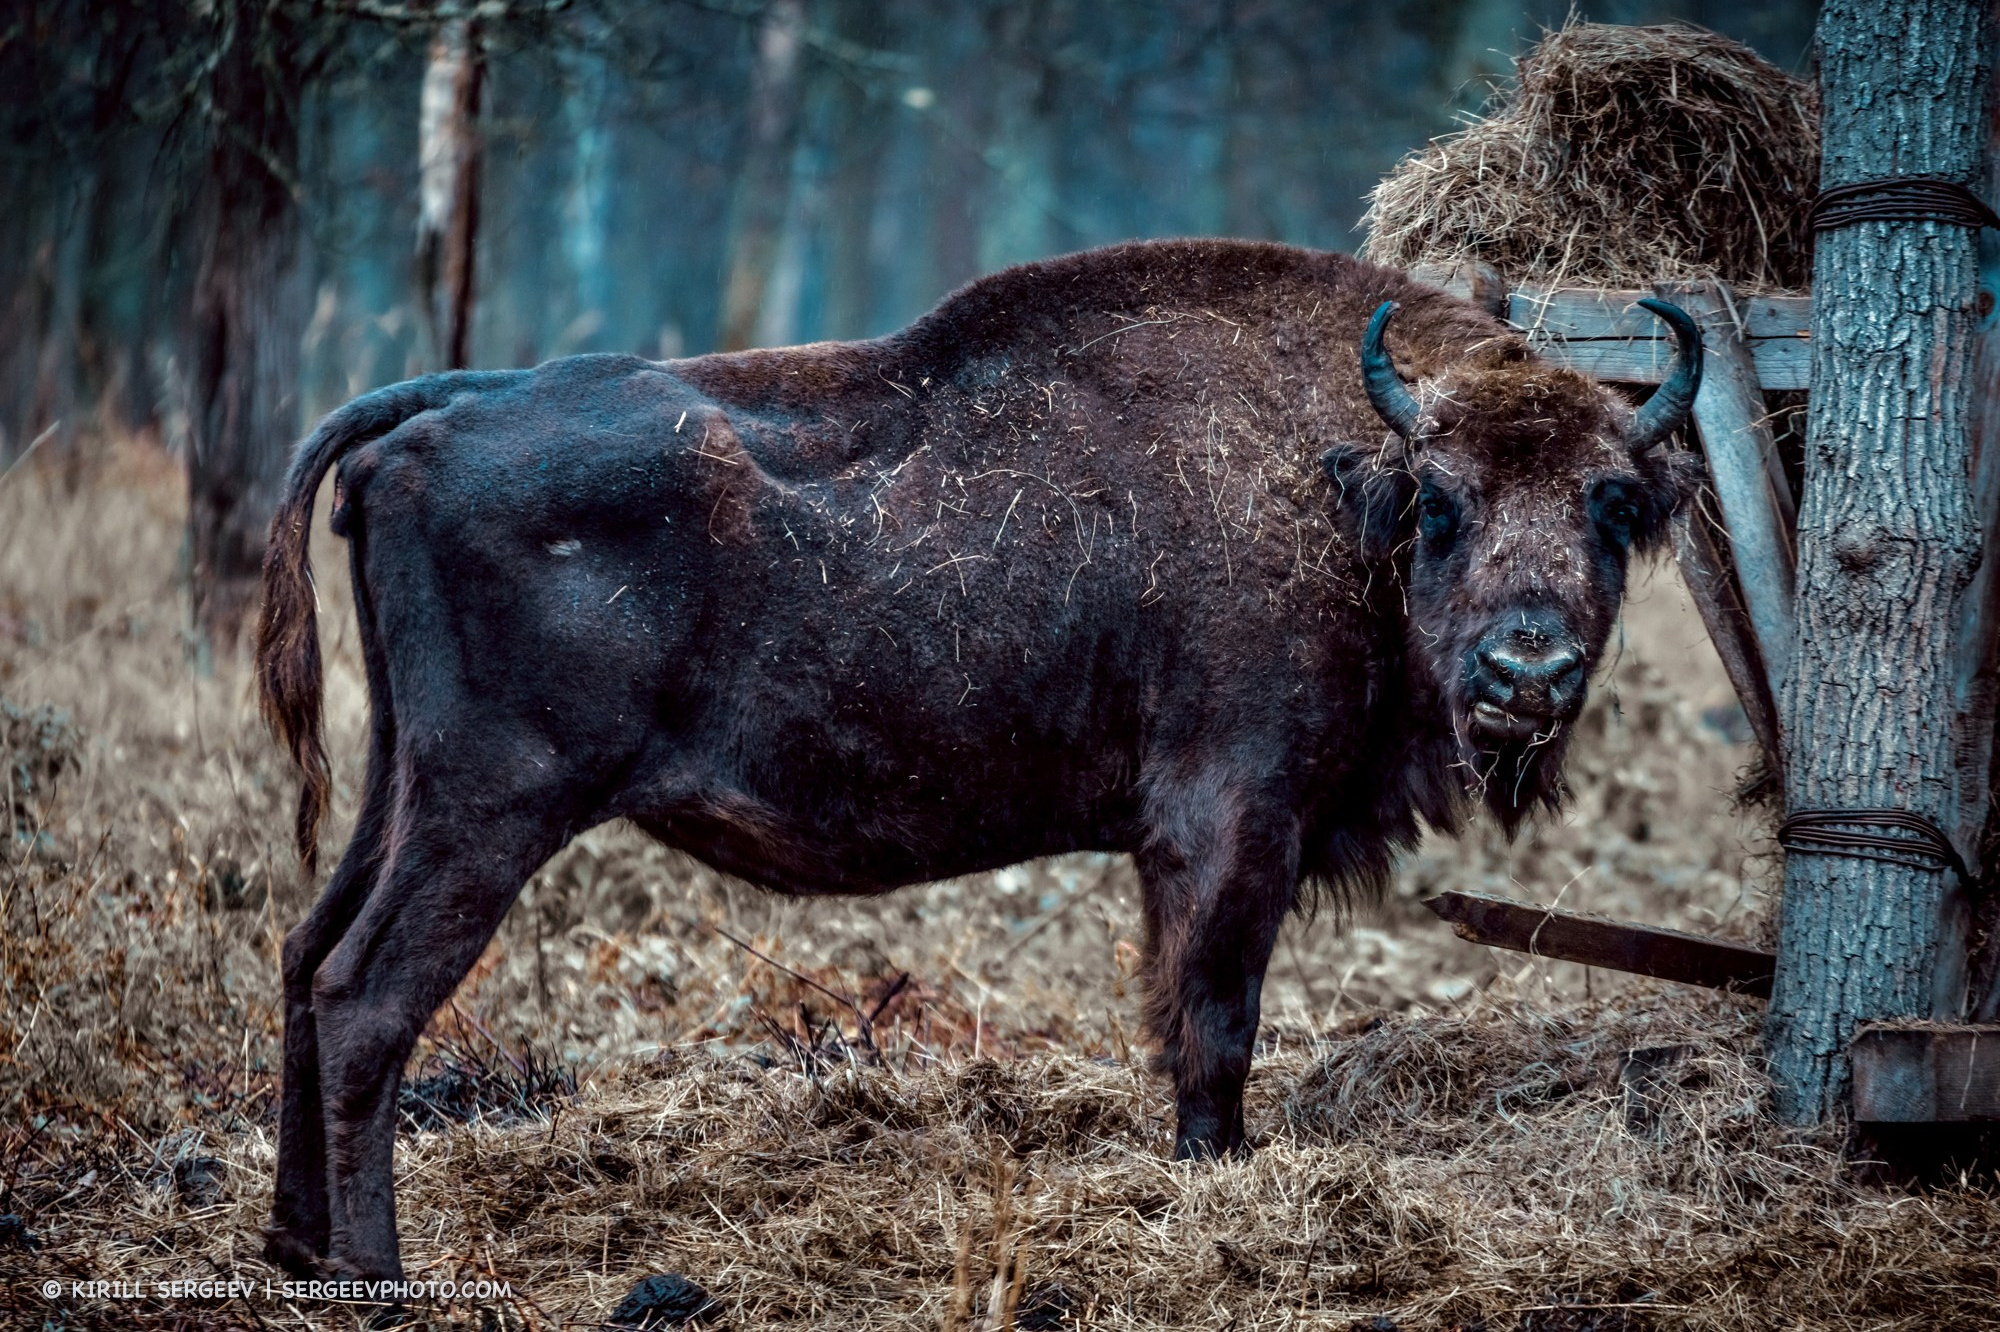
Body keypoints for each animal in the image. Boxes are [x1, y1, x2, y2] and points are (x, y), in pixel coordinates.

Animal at [255, 238, 1700, 1280]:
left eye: (1611, 503)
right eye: (1442, 503)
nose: (1525, 674)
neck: (1343, 485)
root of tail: (448, 408)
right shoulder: (1235, 826)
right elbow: (1214, 1021)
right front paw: (1214, 1183)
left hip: (402, 784)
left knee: (305, 956)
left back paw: (293, 1247)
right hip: (494, 808)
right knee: (367, 995)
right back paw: (376, 1277)